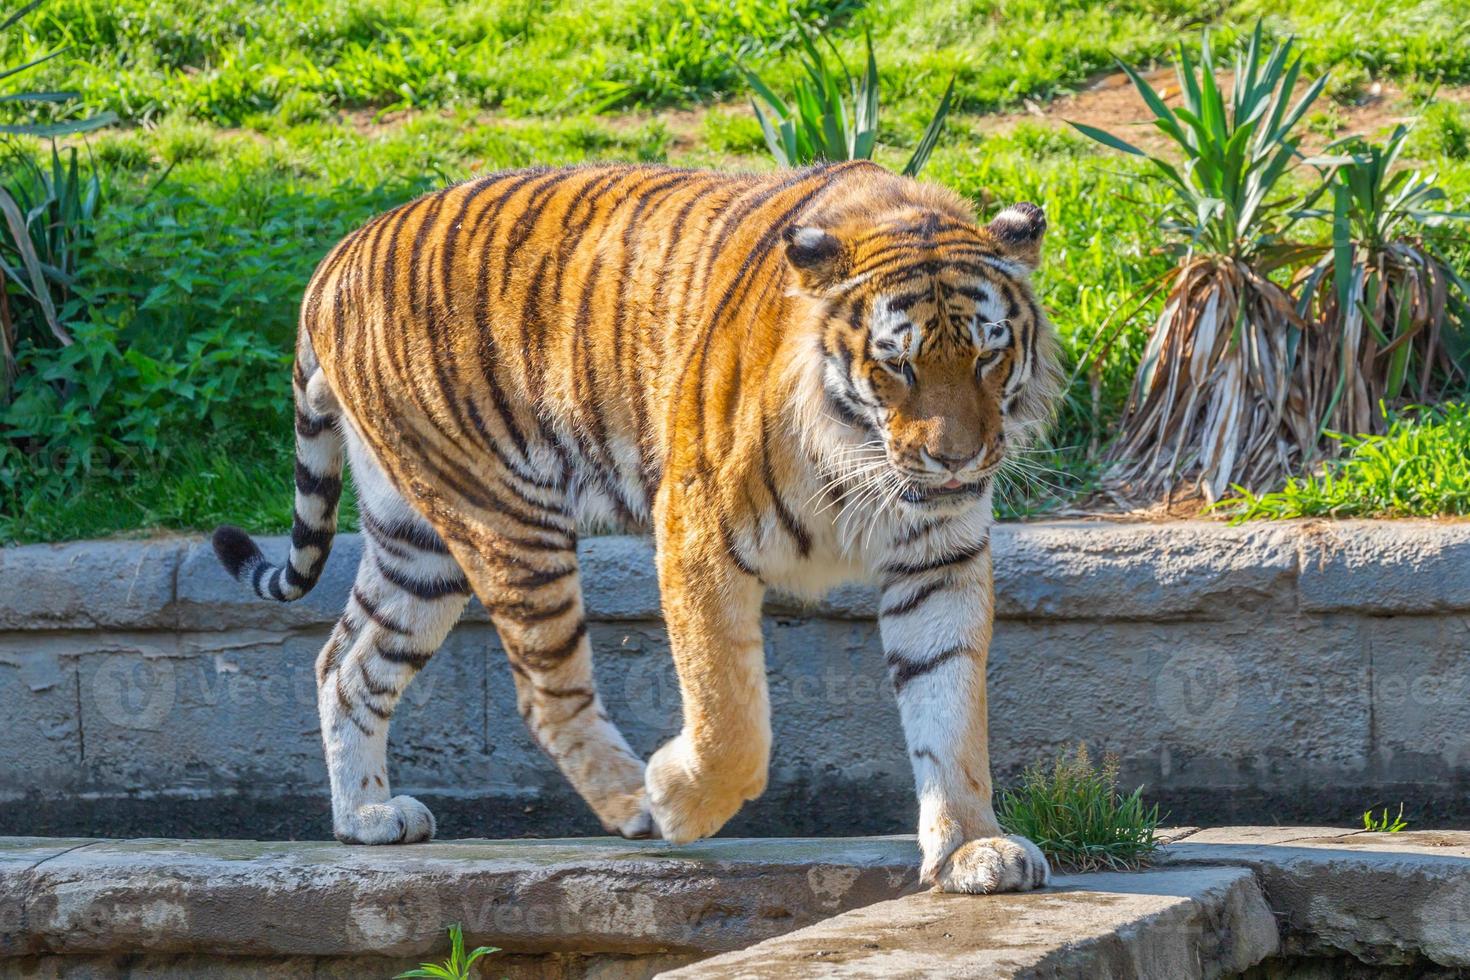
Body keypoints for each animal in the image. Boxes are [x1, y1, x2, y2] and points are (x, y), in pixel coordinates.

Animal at [210, 160, 1058, 899]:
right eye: (896, 365)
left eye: (988, 355)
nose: (956, 460)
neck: (861, 454)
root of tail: (336, 256)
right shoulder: (699, 531)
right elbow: (730, 717)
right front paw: (682, 801)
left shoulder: (938, 560)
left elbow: (949, 706)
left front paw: (972, 847)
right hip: (504, 518)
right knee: (545, 696)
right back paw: (635, 807)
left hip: (416, 543)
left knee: (345, 664)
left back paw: (365, 816)